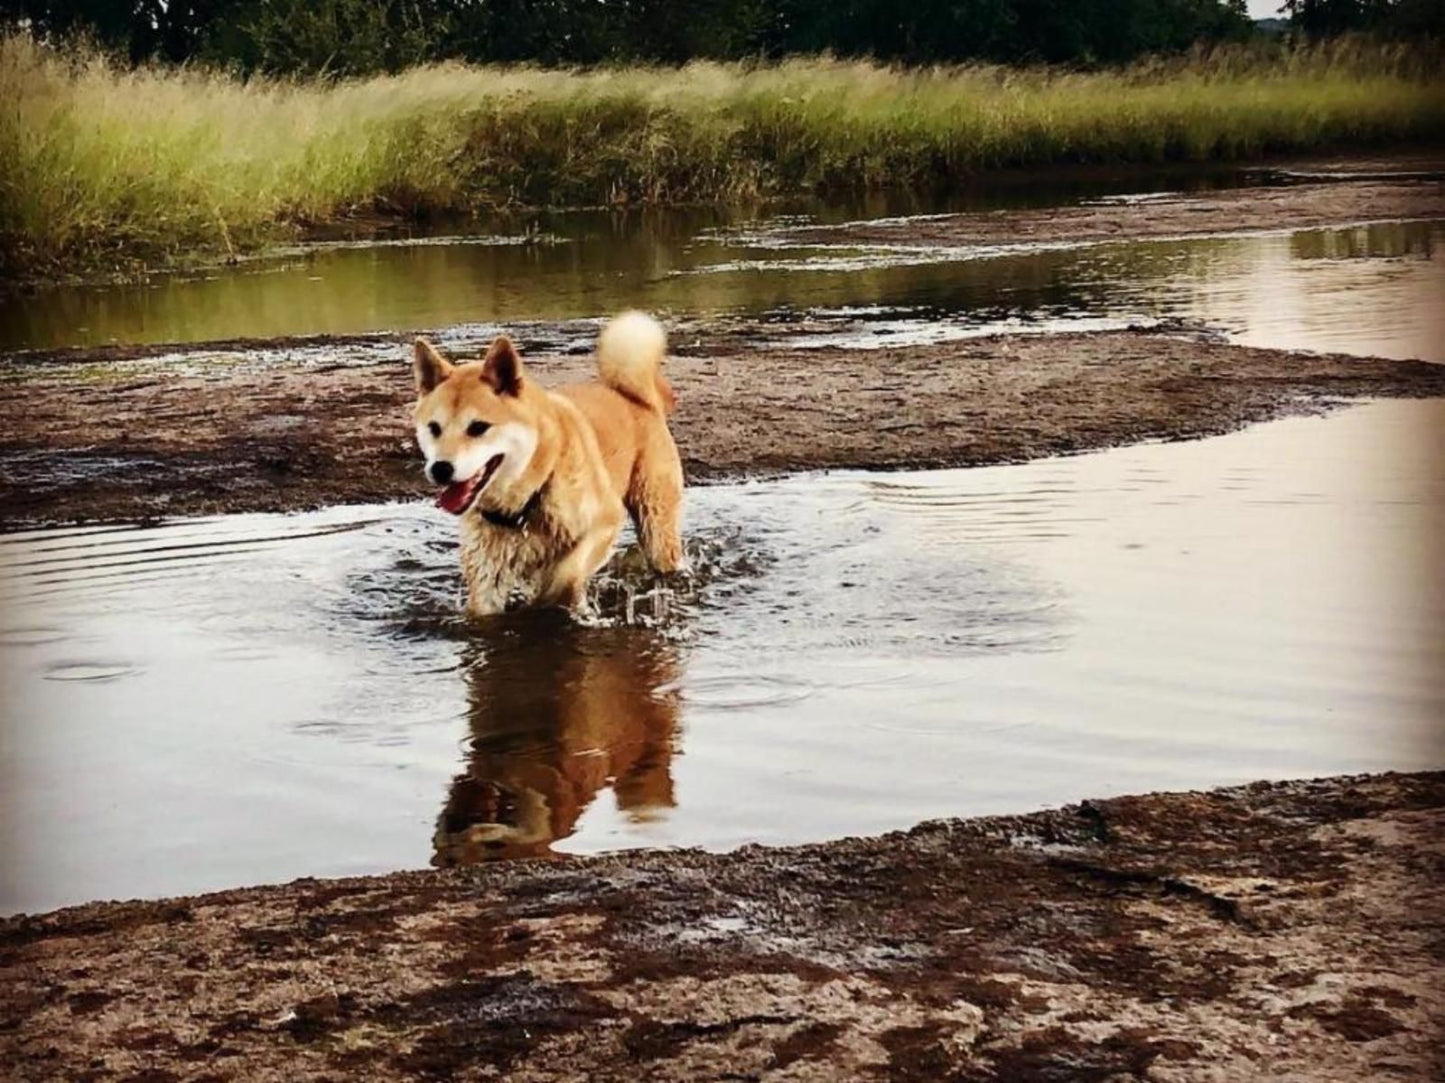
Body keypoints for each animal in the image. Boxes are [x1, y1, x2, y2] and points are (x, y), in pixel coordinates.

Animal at [413, 312, 687, 615]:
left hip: (656, 527)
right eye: (434, 428)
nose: (440, 469)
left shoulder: (605, 521)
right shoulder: (487, 576)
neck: (526, 503)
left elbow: (565, 575)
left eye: (478, 427)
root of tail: (637, 400)